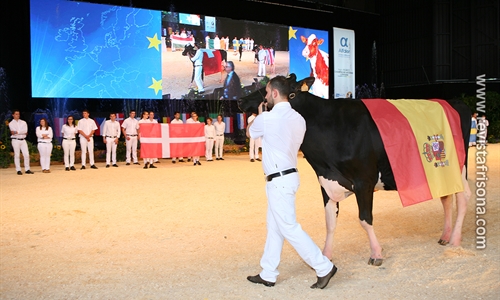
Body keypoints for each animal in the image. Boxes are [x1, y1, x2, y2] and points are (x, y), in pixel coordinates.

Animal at [239, 74, 472, 264]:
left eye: (268, 89)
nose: (241, 100)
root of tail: (454, 102)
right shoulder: (326, 182)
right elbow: (330, 222)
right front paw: (326, 255)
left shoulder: (364, 181)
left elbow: (365, 219)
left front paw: (376, 254)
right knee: (446, 197)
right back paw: (445, 236)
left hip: (459, 167)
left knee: (462, 198)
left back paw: (455, 239)